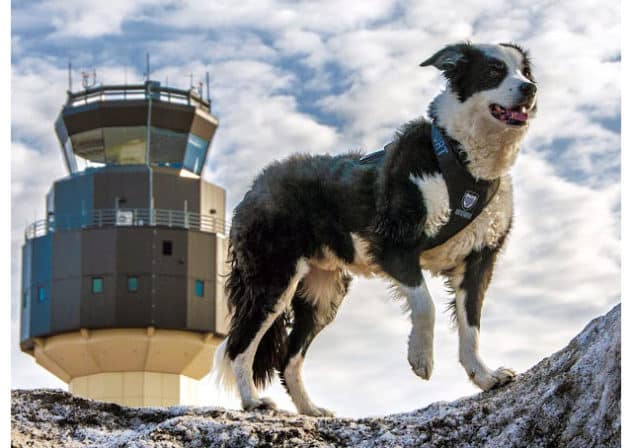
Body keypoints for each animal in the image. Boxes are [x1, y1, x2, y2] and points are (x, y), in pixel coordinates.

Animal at [215, 42, 536, 416]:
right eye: (493, 71)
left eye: (526, 71)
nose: (531, 89)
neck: (465, 161)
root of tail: (257, 185)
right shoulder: (393, 244)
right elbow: (425, 304)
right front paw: (421, 357)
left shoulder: (479, 261)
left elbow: (471, 328)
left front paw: (484, 377)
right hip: (273, 279)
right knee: (239, 346)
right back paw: (252, 400)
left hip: (323, 295)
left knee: (288, 358)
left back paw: (310, 409)